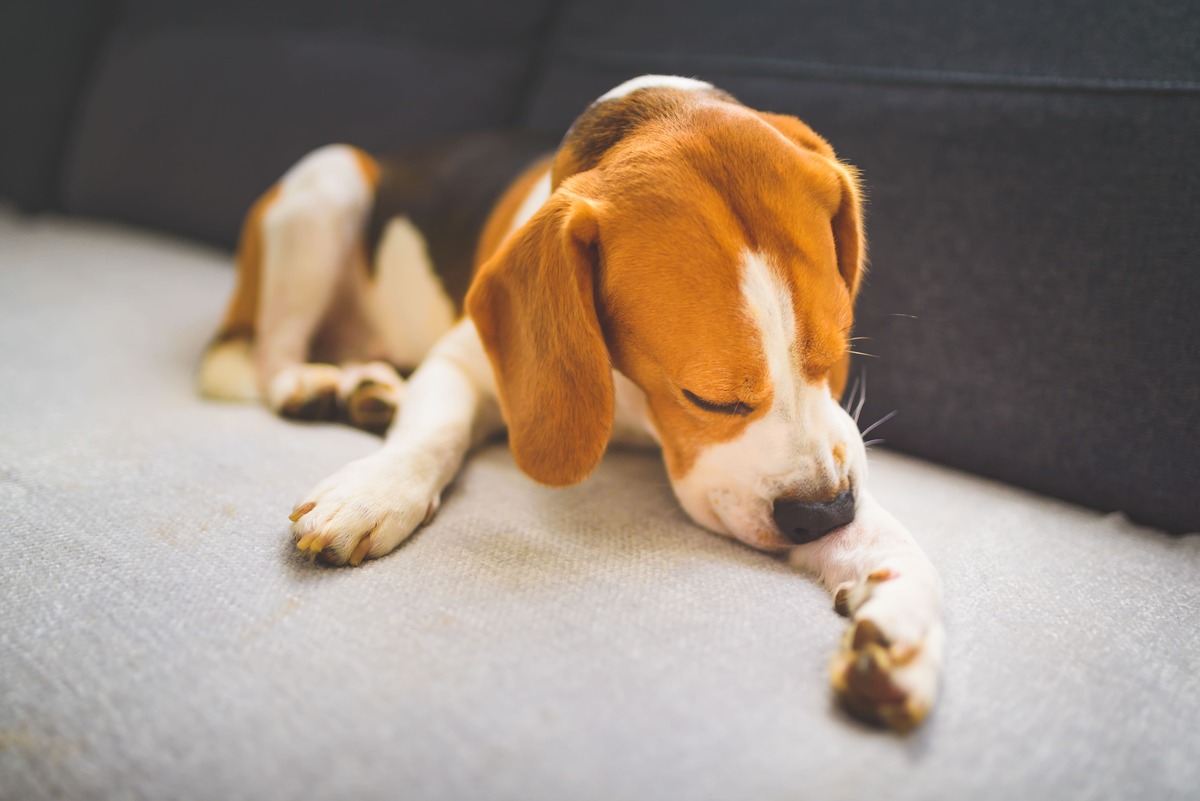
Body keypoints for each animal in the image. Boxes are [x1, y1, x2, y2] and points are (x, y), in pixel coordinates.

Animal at [199, 76, 945, 733]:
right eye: (708, 397)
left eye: (839, 353)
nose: (823, 514)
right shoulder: (460, 362)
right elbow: (432, 433)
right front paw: (375, 490)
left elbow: (887, 536)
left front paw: (903, 623)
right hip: (326, 183)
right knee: (269, 354)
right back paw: (316, 385)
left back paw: (366, 388)